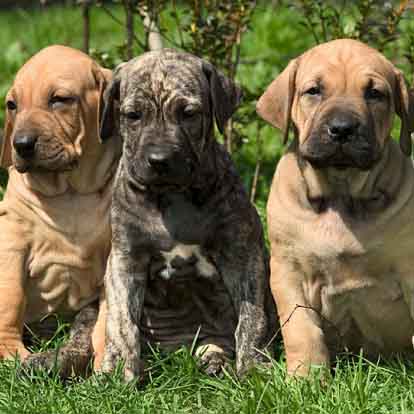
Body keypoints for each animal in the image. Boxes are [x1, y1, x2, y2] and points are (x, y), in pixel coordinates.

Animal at [0, 44, 120, 376]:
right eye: (12, 105)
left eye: (60, 100)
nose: (21, 144)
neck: (69, 193)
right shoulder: (11, 238)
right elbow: (10, 295)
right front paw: (9, 351)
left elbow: (108, 315)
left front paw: (106, 364)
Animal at [98, 49, 276, 382]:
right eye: (133, 115)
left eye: (189, 113)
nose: (159, 160)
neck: (174, 197)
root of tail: (178, 351)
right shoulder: (125, 258)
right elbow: (122, 321)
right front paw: (120, 371)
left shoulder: (242, 255)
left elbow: (251, 317)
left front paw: (253, 366)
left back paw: (215, 360)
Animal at [256, 39, 414, 378]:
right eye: (313, 91)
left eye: (375, 93)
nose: (342, 129)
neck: (342, 194)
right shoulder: (288, 272)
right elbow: (302, 330)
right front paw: (305, 379)